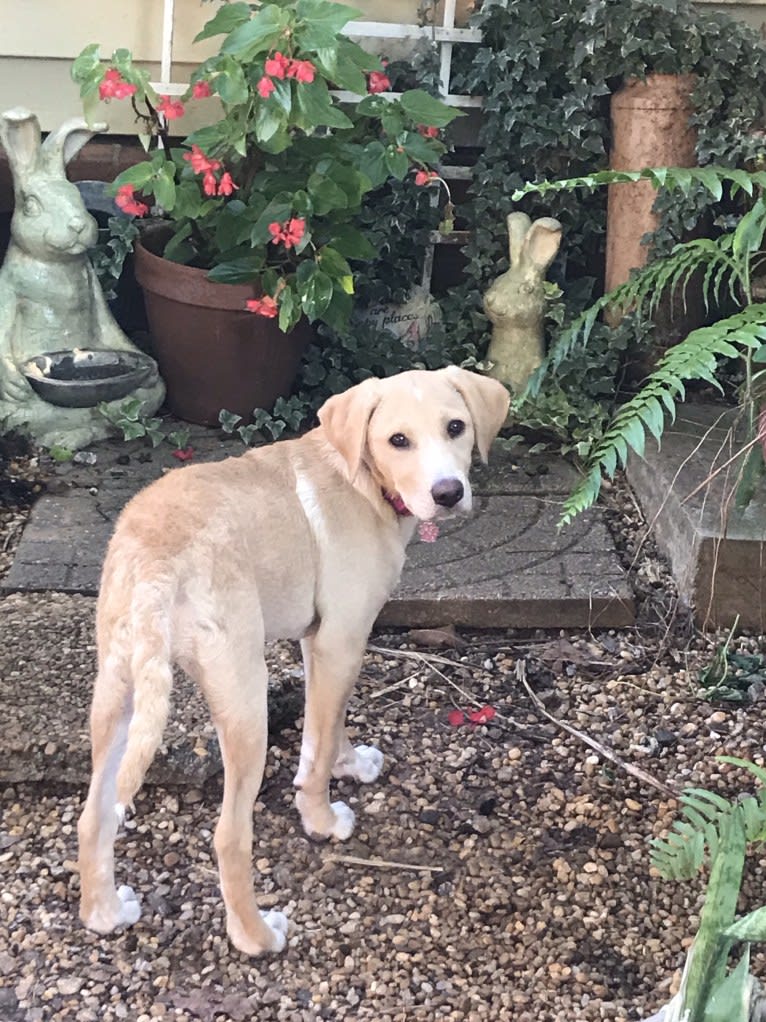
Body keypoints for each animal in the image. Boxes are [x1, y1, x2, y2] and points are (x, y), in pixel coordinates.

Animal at [78, 369, 510, 956]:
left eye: (457, 427)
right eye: (398, 440)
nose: (448, 493)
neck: (361, 479)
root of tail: (152, 559)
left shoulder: (320, 641)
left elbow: (324, 727)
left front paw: (347, 764)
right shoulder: (343, 638)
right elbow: (321, 742)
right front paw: (321, 817)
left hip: (118, 693)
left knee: (92, 815)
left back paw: (103, 912)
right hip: (244, 701)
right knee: (229, 837)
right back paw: (256, 936)